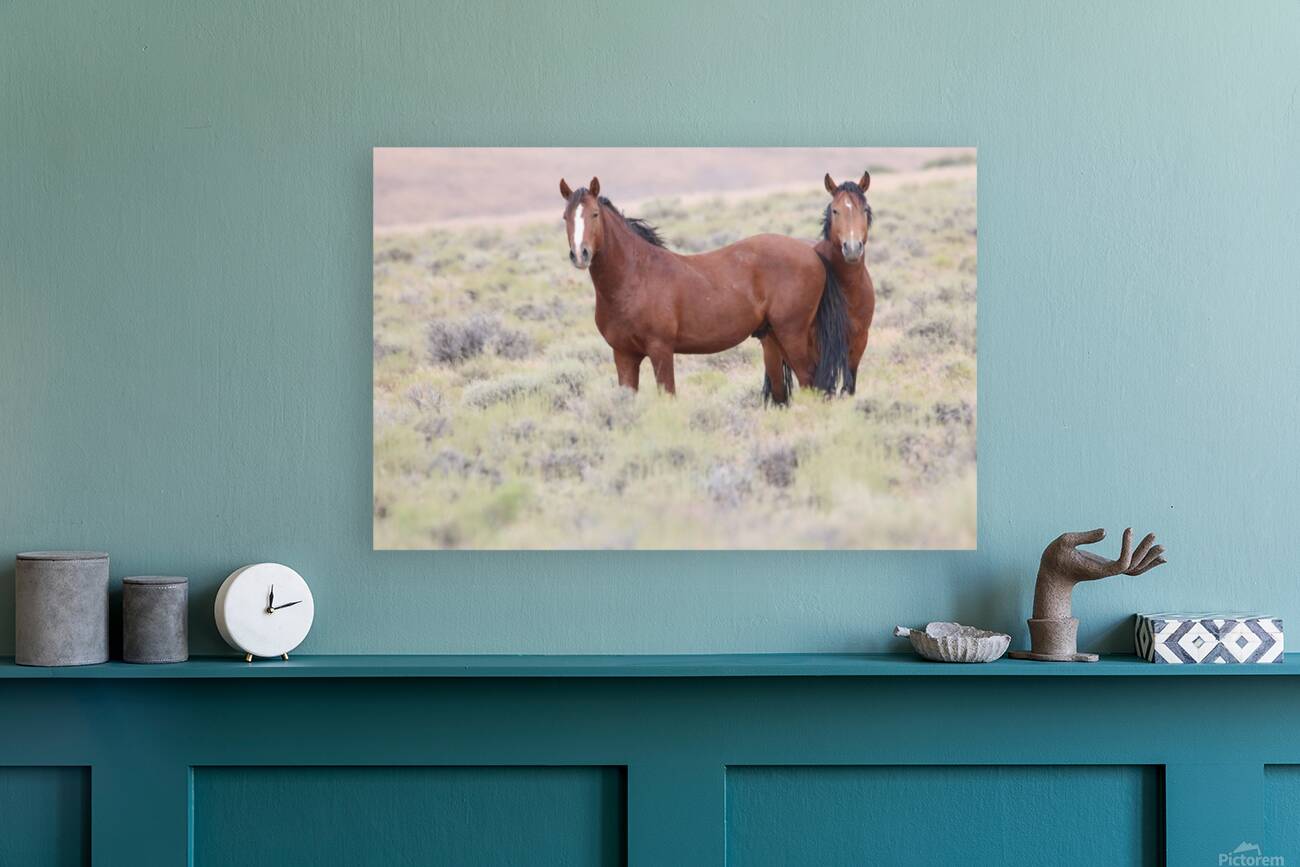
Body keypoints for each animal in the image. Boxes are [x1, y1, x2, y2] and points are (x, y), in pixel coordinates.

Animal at [559, 177, 850, 404]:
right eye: (566, 217)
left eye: (594, 214)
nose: (580, 254)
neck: (635, 277)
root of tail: (812, 253)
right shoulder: (624, 356)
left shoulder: (660, 350)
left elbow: (668, 396)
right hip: (777, 337)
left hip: (792, 334)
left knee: (810, 380)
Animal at [812, 172, 876, 395]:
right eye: (835, 210)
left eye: (864, 209)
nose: (852, 249)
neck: (850, 290)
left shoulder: (859, 341)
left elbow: (849, 386)